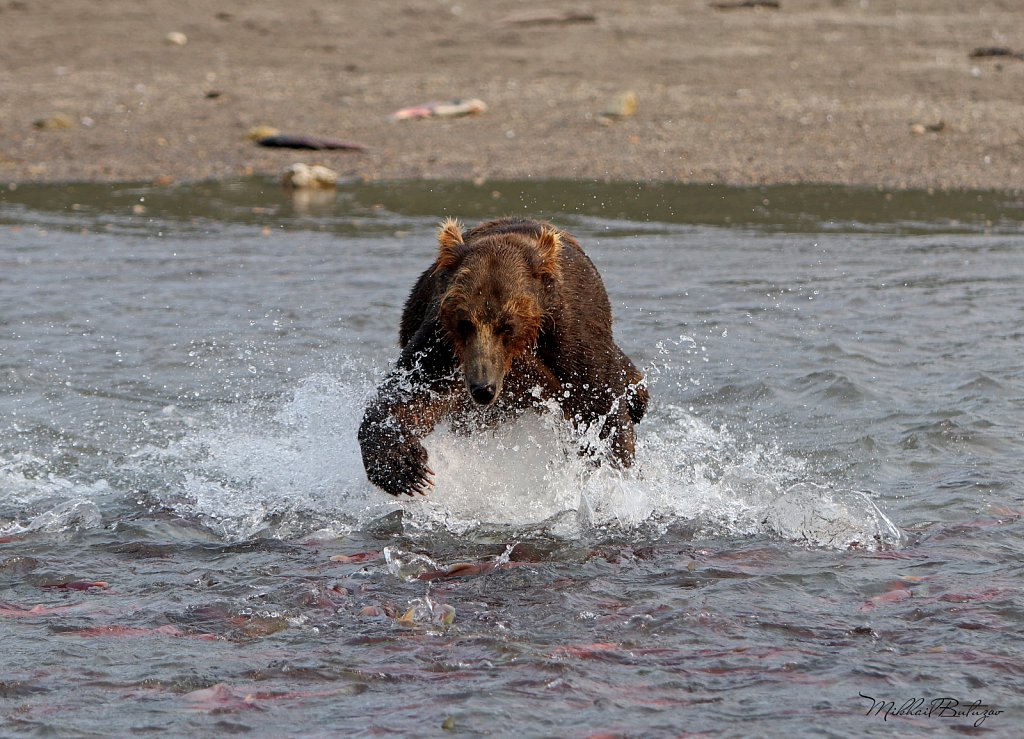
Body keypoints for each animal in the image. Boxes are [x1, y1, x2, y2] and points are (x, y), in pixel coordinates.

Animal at [358, 215, 647, 497]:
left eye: (506, 325)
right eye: (465, 323)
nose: (483, 388)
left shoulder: (571, 337)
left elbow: (600, 409)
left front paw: (612, 478)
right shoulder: (442, 344)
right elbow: (411, 394)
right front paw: (405, 466)